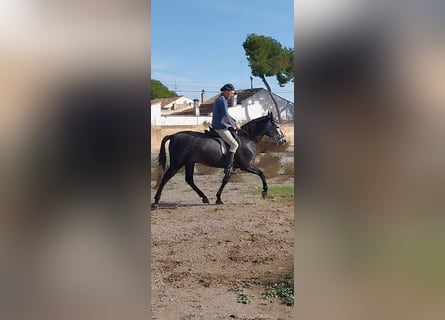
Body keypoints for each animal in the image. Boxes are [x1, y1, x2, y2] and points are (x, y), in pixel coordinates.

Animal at [151, 111, 286, 209]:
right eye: (277, 126)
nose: (283, 140)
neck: (247, 138)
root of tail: (173, 135)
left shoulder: (232, 167)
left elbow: (225, 180)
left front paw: (218, 199)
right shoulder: (246, 165)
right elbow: (262, 174)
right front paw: (264, 192)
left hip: (189, 162)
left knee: (189, 179)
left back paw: (204, 198)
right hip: (177, 163)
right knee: (166, 178)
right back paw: (156, 201)